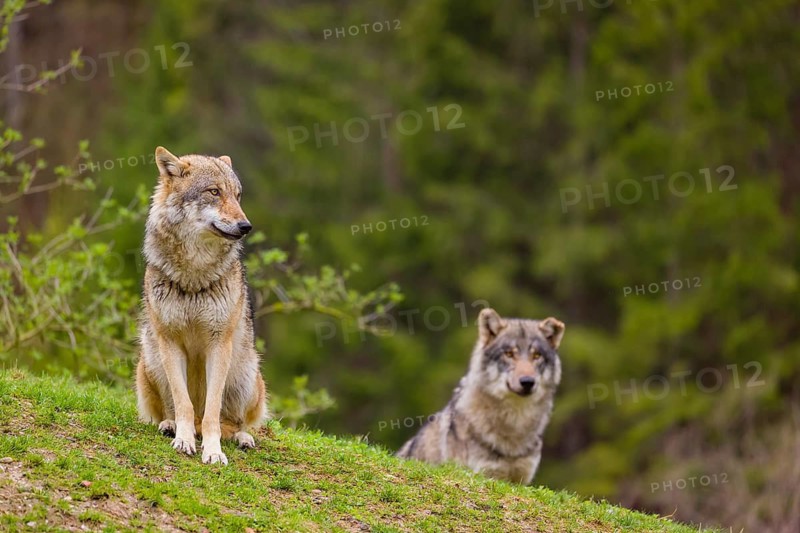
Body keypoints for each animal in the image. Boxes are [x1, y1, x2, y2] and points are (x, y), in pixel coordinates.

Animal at [135, 146, 267, 465]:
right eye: (214, 192)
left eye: (237, 195)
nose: (246, 226)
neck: (194, 275)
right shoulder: (169, 341)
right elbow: (183, 403)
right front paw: (184, 441)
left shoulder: (219, 343)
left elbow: (211, 413)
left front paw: (213, 452)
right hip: (149, 362)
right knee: (171, 410)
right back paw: (169, 426)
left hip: (247, 374)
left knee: (235, 422)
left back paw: (242, 438)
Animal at [396, 308, 564, 484]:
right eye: (509, 354)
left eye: (537, 355)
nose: (527, 382)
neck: (514, 423)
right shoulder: (480, 473)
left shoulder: (521, 480)